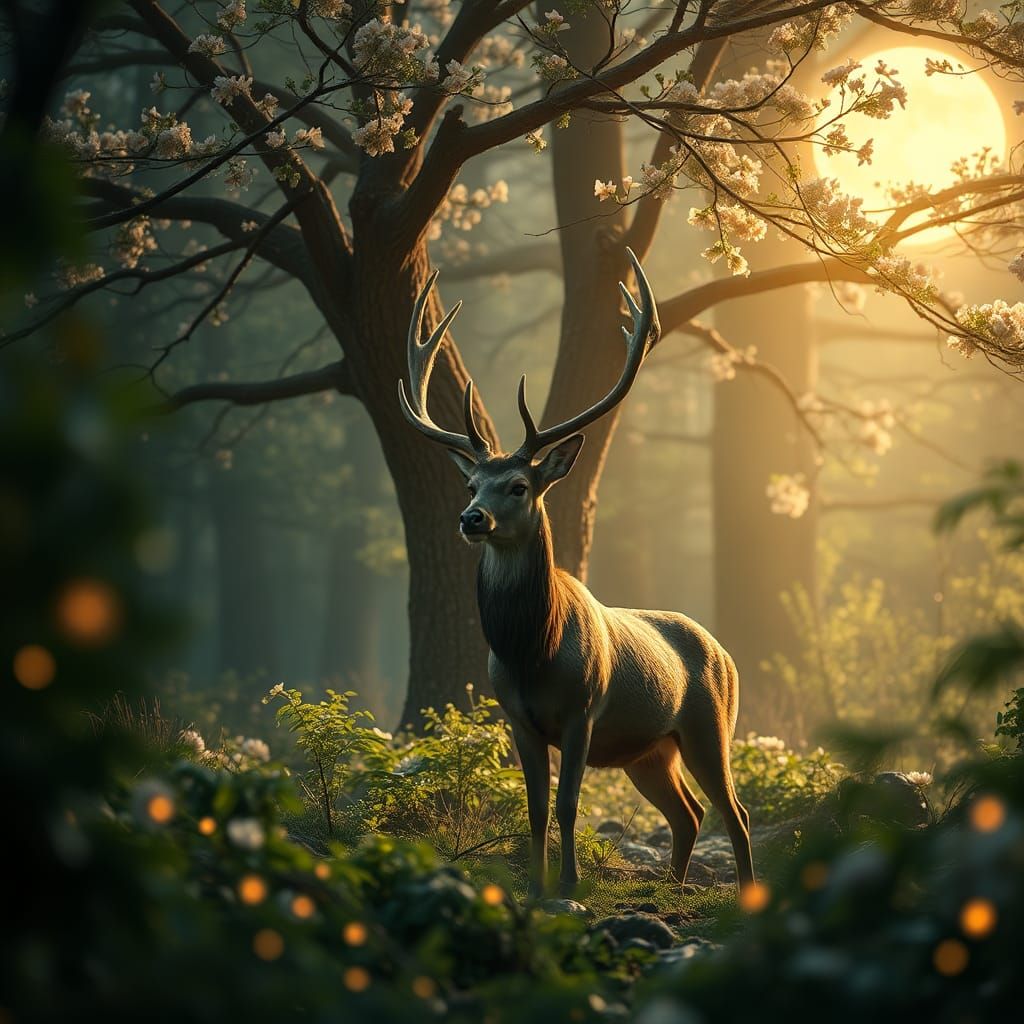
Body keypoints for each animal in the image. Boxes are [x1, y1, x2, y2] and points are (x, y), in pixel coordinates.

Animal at [398, 249, 754, 899]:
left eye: (519, 485)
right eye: (470, 483)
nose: (471, 518)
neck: (532, 652)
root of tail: (724, 651)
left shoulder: (584, 710)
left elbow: (568, 805)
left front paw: (568, 885)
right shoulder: (517, 718)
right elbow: (536, 808)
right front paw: (538, 887)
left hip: (710, 724)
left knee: (733, 810)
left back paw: (743, 890)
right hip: (648, 750)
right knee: (688, 813)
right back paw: (673, 886)